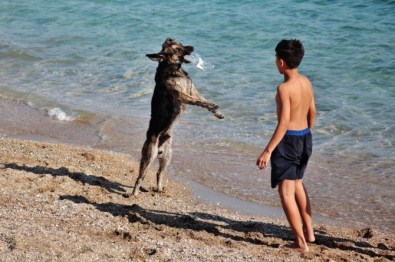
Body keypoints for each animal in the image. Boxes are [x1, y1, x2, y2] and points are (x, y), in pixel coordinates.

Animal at [129, 37, 223, 196]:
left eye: (181, 43)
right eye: (178, 49)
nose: (192, 47)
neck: (174, 69)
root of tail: (159, 148)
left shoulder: (192, 90)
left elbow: (203, 101)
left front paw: (217, 112)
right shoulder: (182, 95)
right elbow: (200, 102)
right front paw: (213, 106)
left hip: (167, 157)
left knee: (158, 173)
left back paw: (159, 189)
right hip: (149, 157)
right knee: (140, 176)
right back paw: (133, 193)